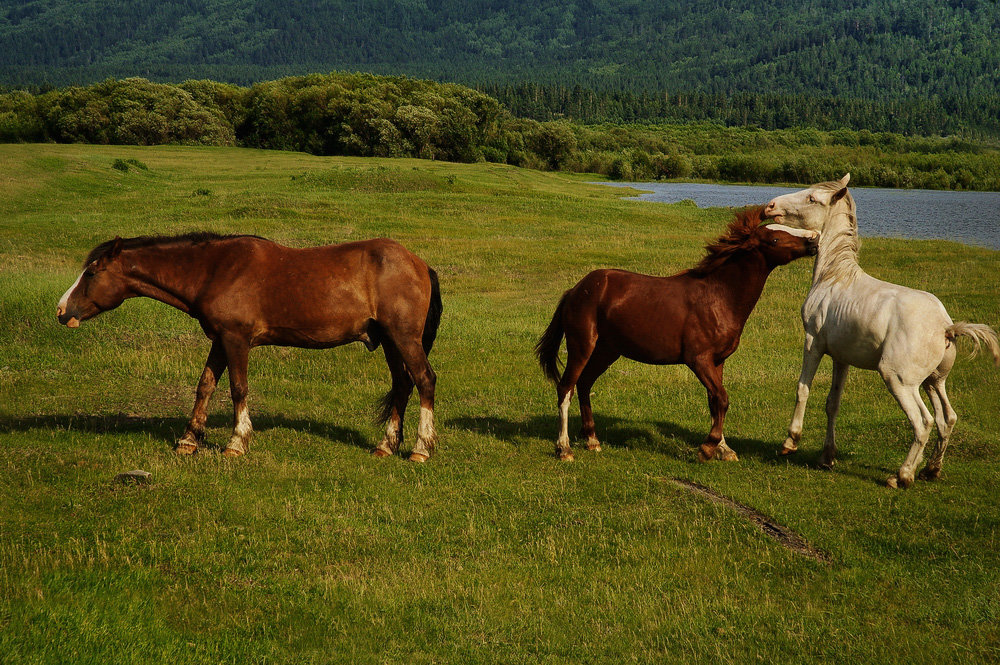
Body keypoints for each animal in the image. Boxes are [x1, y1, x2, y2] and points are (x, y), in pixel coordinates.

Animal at [56, 233, 442, 462]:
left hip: (404, 337)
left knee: (424, 381)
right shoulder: (220, 341)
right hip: (390, 341)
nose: (61, 311)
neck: (216, 270)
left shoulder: (236, 339)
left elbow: (238, 388)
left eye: (92, 273)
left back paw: (420, 449)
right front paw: (189, 439)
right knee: (402, 385)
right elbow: (205, 386)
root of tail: (420, 263)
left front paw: (236, 442)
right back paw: (386, 445)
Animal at [536, 208, 816, 462]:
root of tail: (575, 290)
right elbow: (721, 398)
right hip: (581, 346)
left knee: (584, 383)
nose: (813, 241)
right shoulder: (698, 360)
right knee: (566, 388)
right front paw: (708, 448)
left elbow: (716, 401)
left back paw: (592, 440)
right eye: (775, 239)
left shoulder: (718, 361)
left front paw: (723, 449)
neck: (719, 297)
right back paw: (564, 449)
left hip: (607, 351)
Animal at [760, 175, 996, 488]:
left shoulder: (813, 343)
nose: (770, 206)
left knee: (923, 422)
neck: (835, 276)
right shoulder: (841, 357)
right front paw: (827, 458)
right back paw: (930, 470)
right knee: (947, 418)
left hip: (899, 380)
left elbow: (803, 389)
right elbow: (832, 403)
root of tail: (946, 327)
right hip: (933, 382)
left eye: (812, 198)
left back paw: (902, 476)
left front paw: (790, 442)